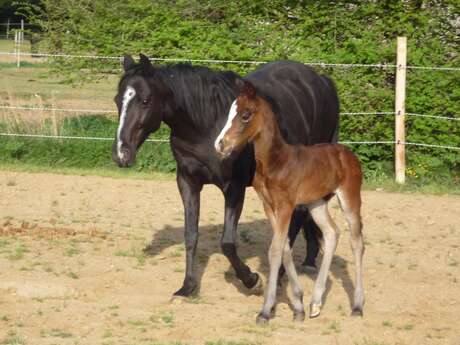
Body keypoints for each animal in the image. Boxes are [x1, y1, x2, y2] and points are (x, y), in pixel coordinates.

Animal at [113, 55, 340, 296]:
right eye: (117, 100)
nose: (121, 154)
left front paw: (252, 280)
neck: (207, 125)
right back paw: (308, 260)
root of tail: (323, 81)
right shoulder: (187, 183)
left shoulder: (234, 187)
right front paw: (188, 286)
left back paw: (279, 275)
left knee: (296, 218)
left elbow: (227, 243)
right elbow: (191, 235)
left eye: (145, 100)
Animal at [214, 80, 364, 322]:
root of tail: (346, 153)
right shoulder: (268, 205)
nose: (220, 145)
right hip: (317, 203)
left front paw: (266, 311)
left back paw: (358, 306)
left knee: (357, 241)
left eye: (246, 115)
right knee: (332, 233)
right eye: (229, 112)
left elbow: (275, 250)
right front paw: (298, 305)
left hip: (350, 198)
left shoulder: (286, 206)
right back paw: (315, 303)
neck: (276, 162)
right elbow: (284, 247)